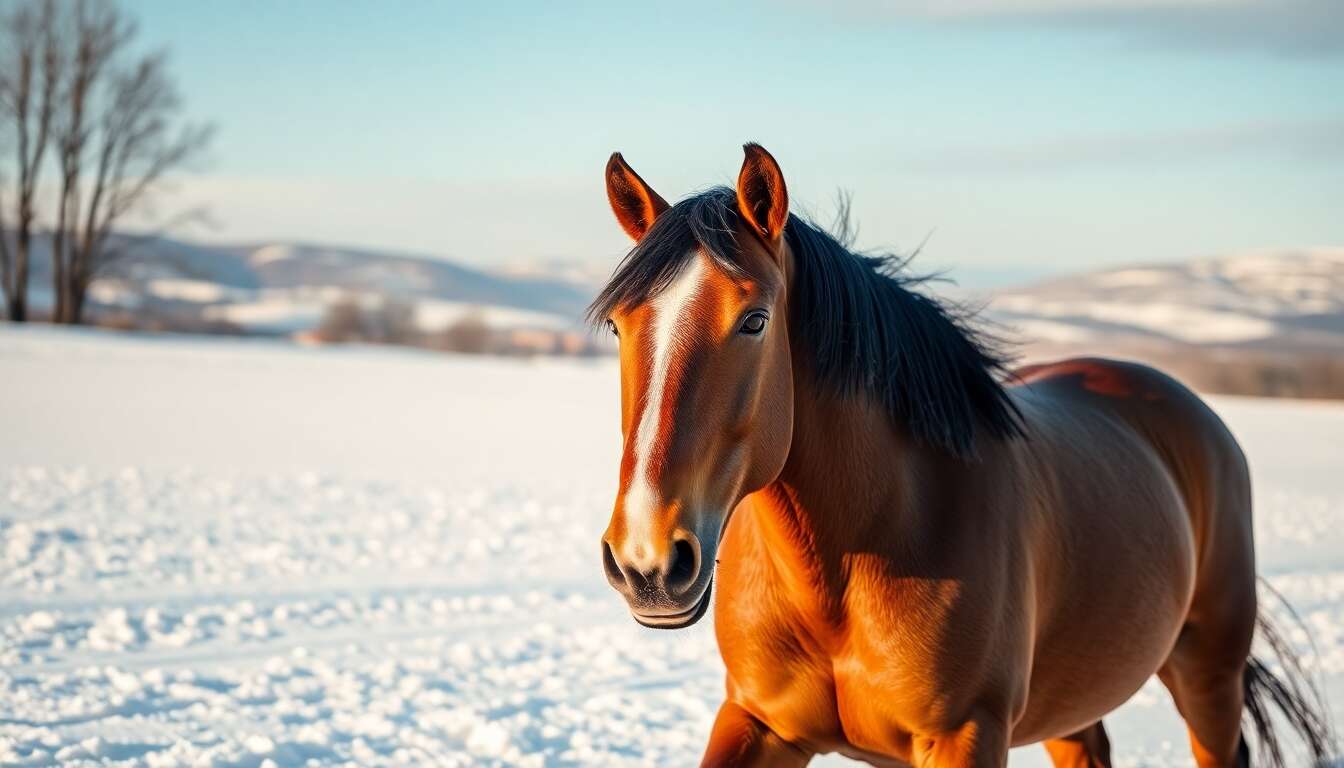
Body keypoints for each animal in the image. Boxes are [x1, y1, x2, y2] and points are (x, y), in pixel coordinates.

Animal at [591, 144, 1332, 767]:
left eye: (754, 320)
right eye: (621, 325)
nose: (647, 562)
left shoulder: (966, 733)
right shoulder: (757, 721)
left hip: (1208, 674)